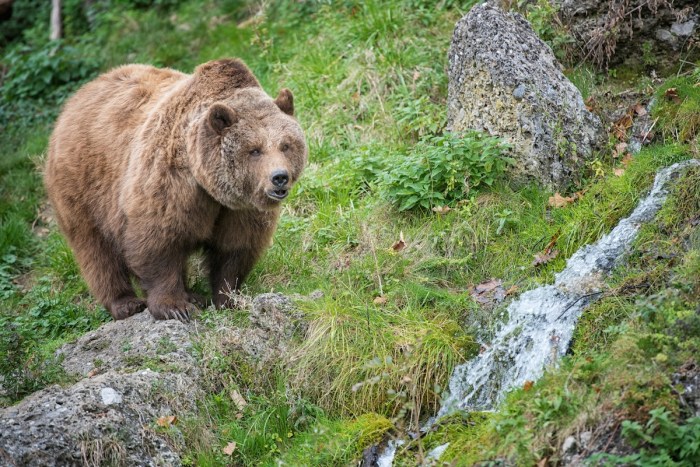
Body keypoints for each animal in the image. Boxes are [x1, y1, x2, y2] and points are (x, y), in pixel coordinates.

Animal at [44, 58, 307, 322]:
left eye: (286, 145)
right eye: (254, 150)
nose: (279, 178)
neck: (208, 185)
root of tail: (77, 97)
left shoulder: (239, 209)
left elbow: (234, 250)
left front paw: (229, 299)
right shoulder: (169, 184)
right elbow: (158, 243)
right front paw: (174, 307)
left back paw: (192, 295)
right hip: (84, 187)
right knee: (96, 251)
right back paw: (126, 303)